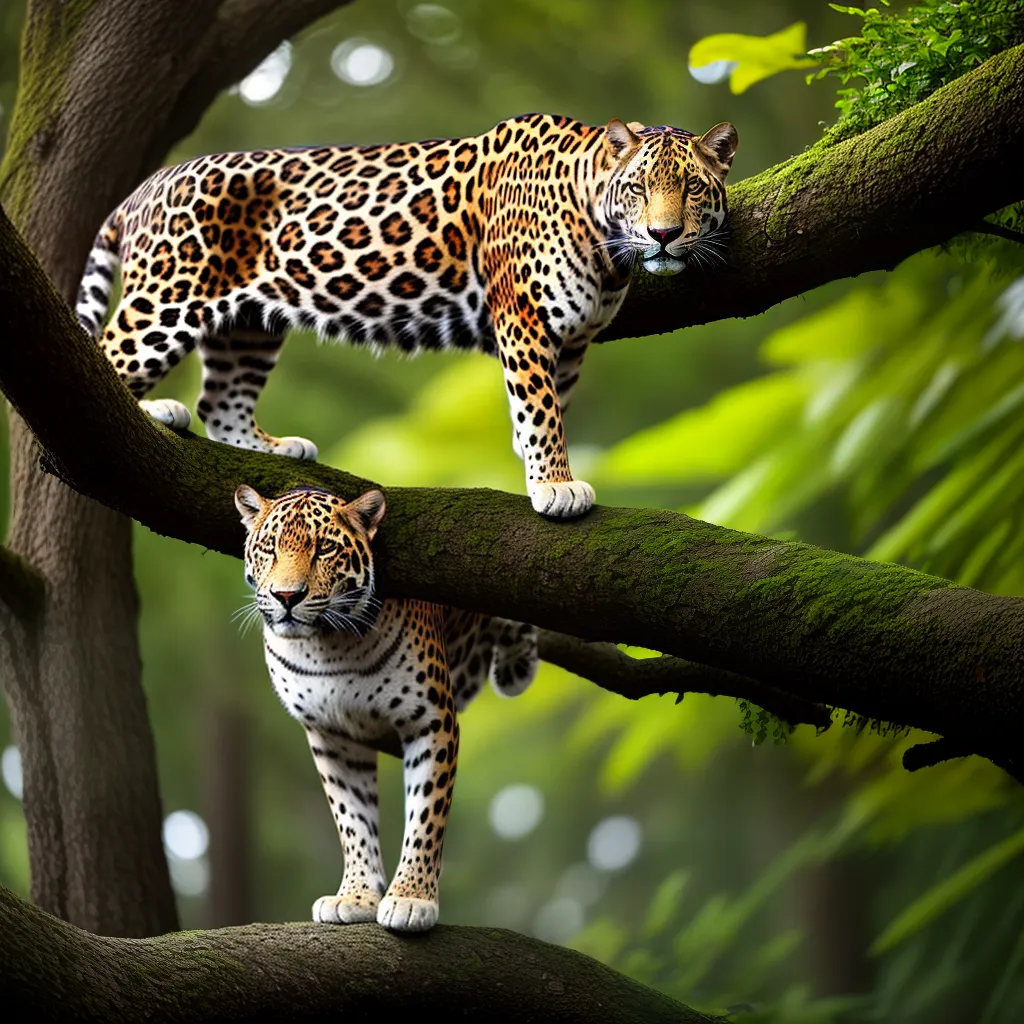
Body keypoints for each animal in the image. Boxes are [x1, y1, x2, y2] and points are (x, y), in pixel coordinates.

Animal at [79, 113, 737, 518]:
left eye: (693, 188)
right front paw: (554, 484)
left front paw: (535, 469)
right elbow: (541, 409)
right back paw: (153, 410)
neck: (605, 248)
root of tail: (145, 186)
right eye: (639, 188)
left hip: (248, 324)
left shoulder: (572, 338)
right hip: (167, 296)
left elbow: (551, 406)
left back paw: (272, 448)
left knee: (221, 401)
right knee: (108, 355)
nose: (663, 234)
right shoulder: (524, 316)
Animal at [234, 482, 538, 931]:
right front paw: (355, 895)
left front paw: (411, 898)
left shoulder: (431, 722)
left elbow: (426, 815)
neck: (329, 647)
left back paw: (516, 662)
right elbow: (352, 818)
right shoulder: (333, 737)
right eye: (270, 548)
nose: (287, 596)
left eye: (324, 548)